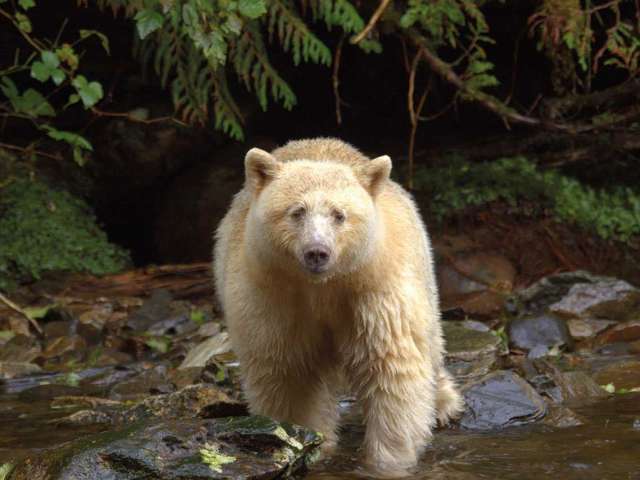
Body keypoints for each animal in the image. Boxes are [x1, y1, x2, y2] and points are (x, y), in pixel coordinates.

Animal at [213, 138, 463, 477]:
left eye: (339, 214)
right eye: (297, 211)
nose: (317, 252)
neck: (323, 286)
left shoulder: (373, 293)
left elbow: (391, 369)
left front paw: (387, 461)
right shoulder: (273, 299)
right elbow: (289, 375)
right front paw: (311, 445)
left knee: (431, 343)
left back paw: (444, 403)